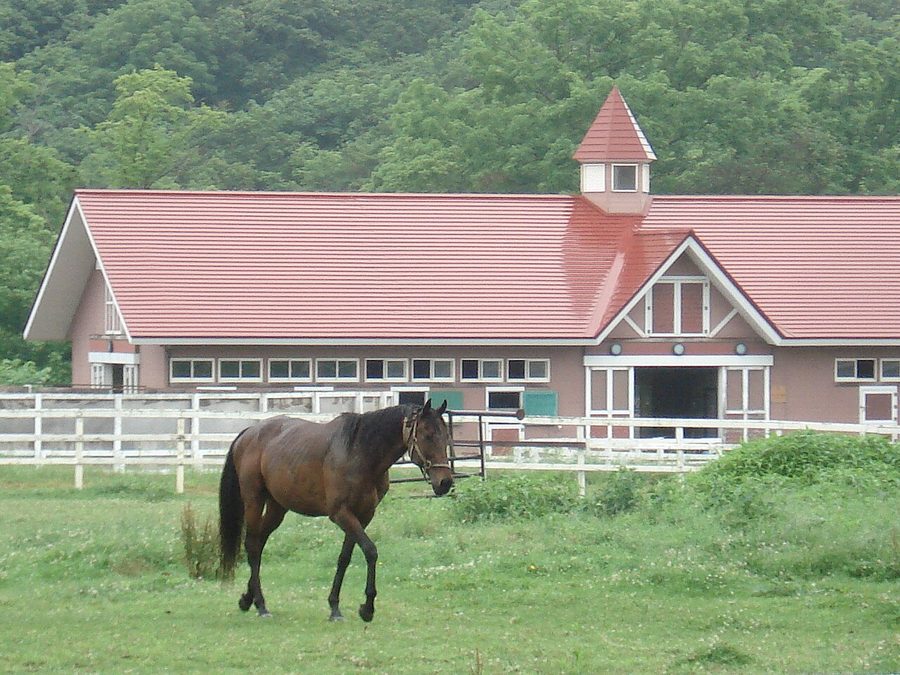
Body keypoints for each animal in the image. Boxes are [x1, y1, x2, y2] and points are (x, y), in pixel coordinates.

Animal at [218, 399, 453, 622]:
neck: (359, 452)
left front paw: (335, 606)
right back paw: (260, 604)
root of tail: (250, 432)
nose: (445, 483)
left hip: (278, 507)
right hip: (254, 500)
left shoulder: (363, 516)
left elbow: (344, 558)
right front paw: (367, 608)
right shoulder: (341, 514)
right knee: (252, 545)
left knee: (259, 542)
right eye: (427, 435)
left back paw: (247, 599)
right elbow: (370, 551)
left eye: (445, 437)